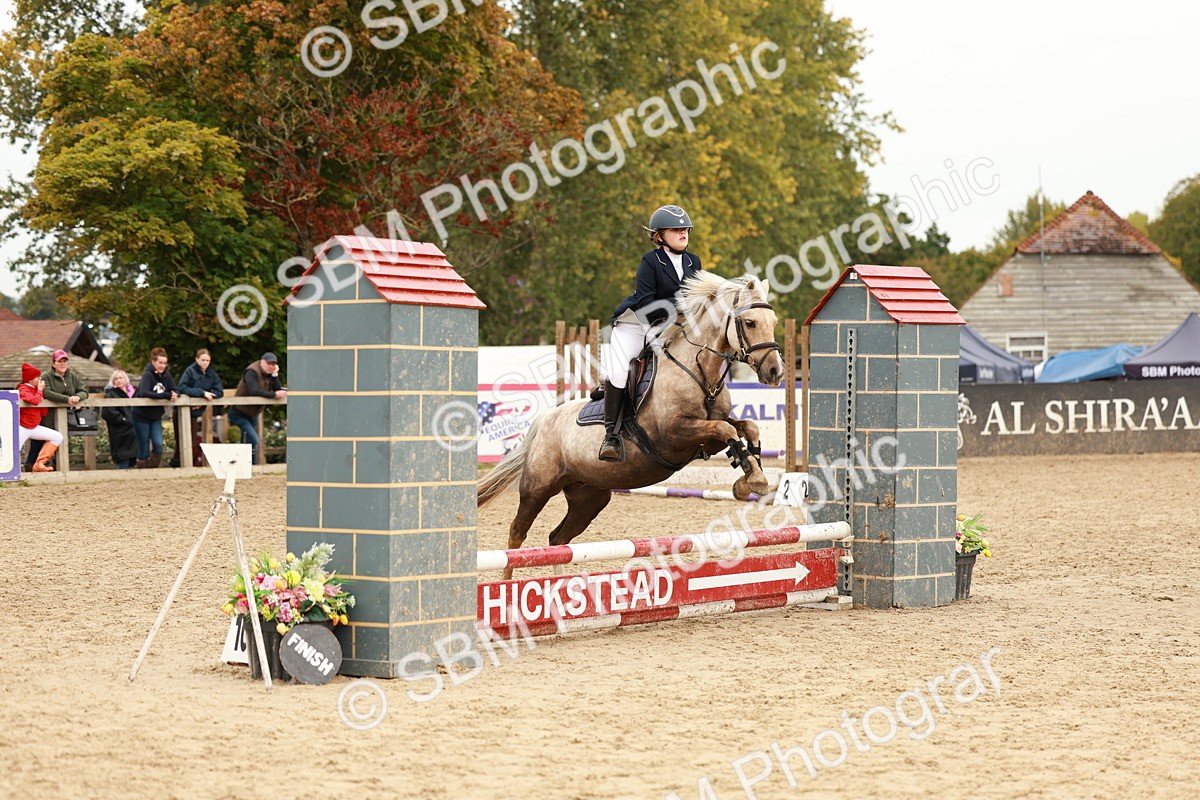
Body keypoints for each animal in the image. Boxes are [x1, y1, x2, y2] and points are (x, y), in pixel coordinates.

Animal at [478, 272, 785, 579]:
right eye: (750, 322)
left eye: (773, 322)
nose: (775, 372)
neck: (699, 372)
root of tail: (544, 420)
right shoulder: (674, 435)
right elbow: (728, 429)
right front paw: (752, 478)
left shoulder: (708, 436)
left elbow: (746, 427)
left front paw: (752, 472)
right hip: (537, 488)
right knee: (517, 533)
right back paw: (507, 583)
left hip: (589, 497)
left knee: (558, 539)